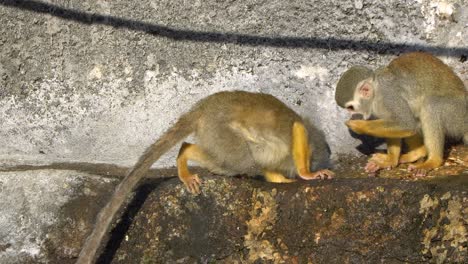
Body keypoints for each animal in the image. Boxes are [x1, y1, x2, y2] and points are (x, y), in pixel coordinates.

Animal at [76, 91, 332, 264]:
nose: (319, 163)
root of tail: (203, 108)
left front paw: (279, 179)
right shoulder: (307, 139)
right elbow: (298, 129)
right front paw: (308, 173)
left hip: (213, 133)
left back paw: (186, 152)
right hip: (218, 129)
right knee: (240, 161)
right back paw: (186, 154)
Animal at [334, 50, 466, 176]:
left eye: (350, 108)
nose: (352, 114)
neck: (376, 93)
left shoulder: (388, 94)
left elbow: (406, 124)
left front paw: (359, 126)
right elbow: (398, 123)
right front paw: (391, 160)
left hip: (457, 113)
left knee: (431, 104)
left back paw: (433, 161)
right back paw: (419, 152)